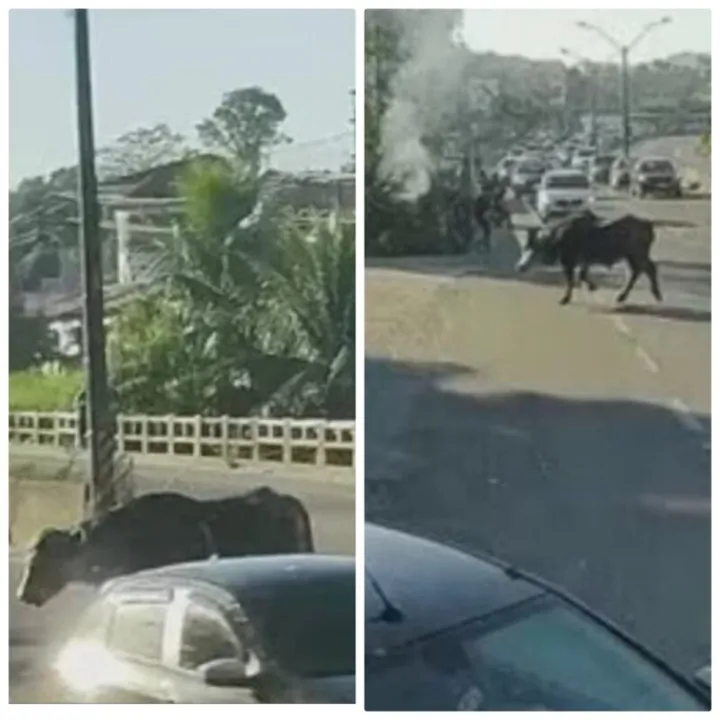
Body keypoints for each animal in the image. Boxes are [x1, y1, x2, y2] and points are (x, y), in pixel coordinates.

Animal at [516, 211, 660, 306]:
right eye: (525, 248)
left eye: (535, 249)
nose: (520, 266)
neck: (557, 239)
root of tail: (648, 225)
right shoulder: (583, 261)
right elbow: (582, 276)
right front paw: (592, 286)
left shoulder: (569, 262)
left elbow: (571, 281)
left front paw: (565, 299)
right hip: (631, 256)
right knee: (637, 271)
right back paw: (623, 296)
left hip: (637, 255)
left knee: (648, 269)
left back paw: (655, 294)